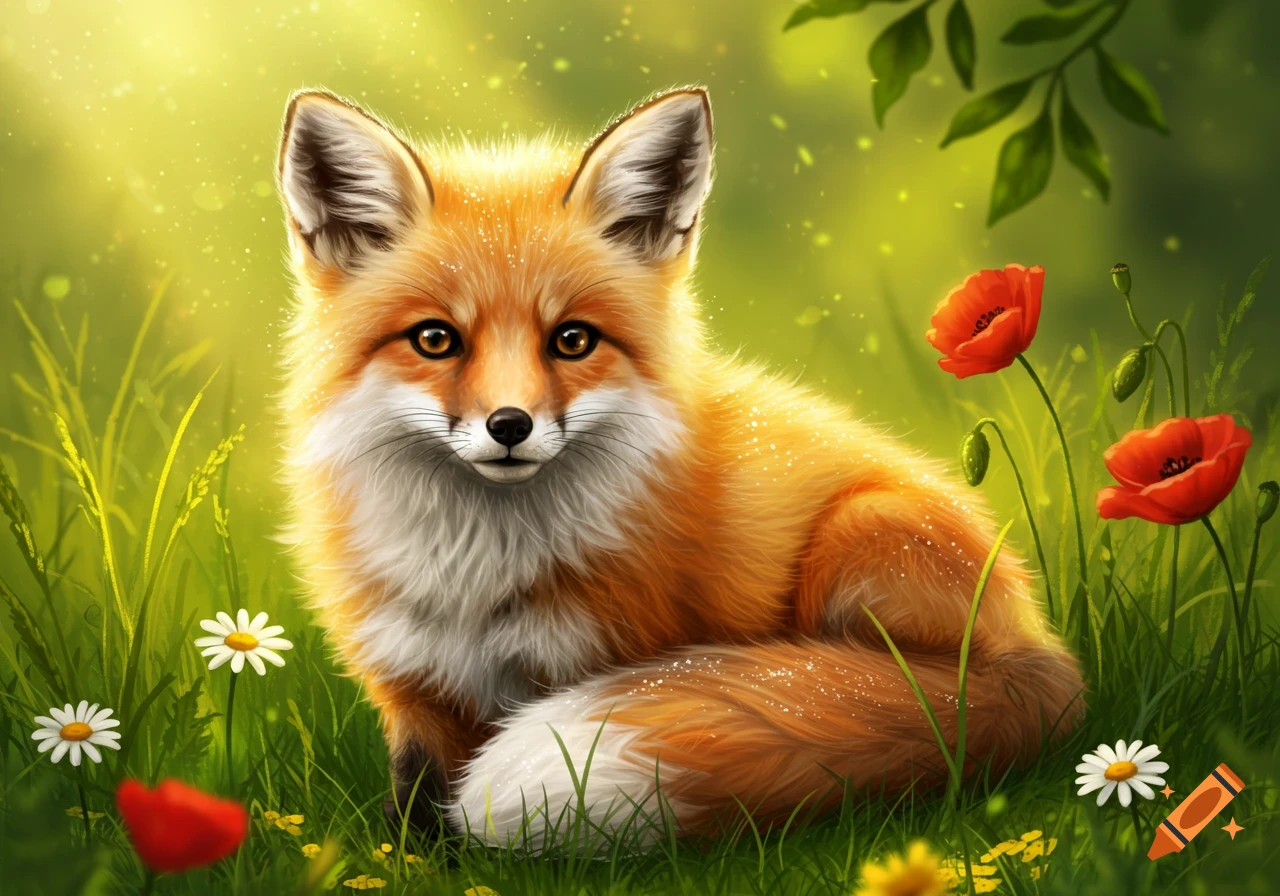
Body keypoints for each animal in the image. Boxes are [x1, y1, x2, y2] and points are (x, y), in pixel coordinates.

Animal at [276, 85, 1084, 849]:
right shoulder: (413, 682)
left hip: (864, 537)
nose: (510, 427)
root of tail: (1046, 658)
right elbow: (415, 802)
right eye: (435, 339)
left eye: (572, 340)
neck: (476, 573)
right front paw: (419, 852)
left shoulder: (595, 655)